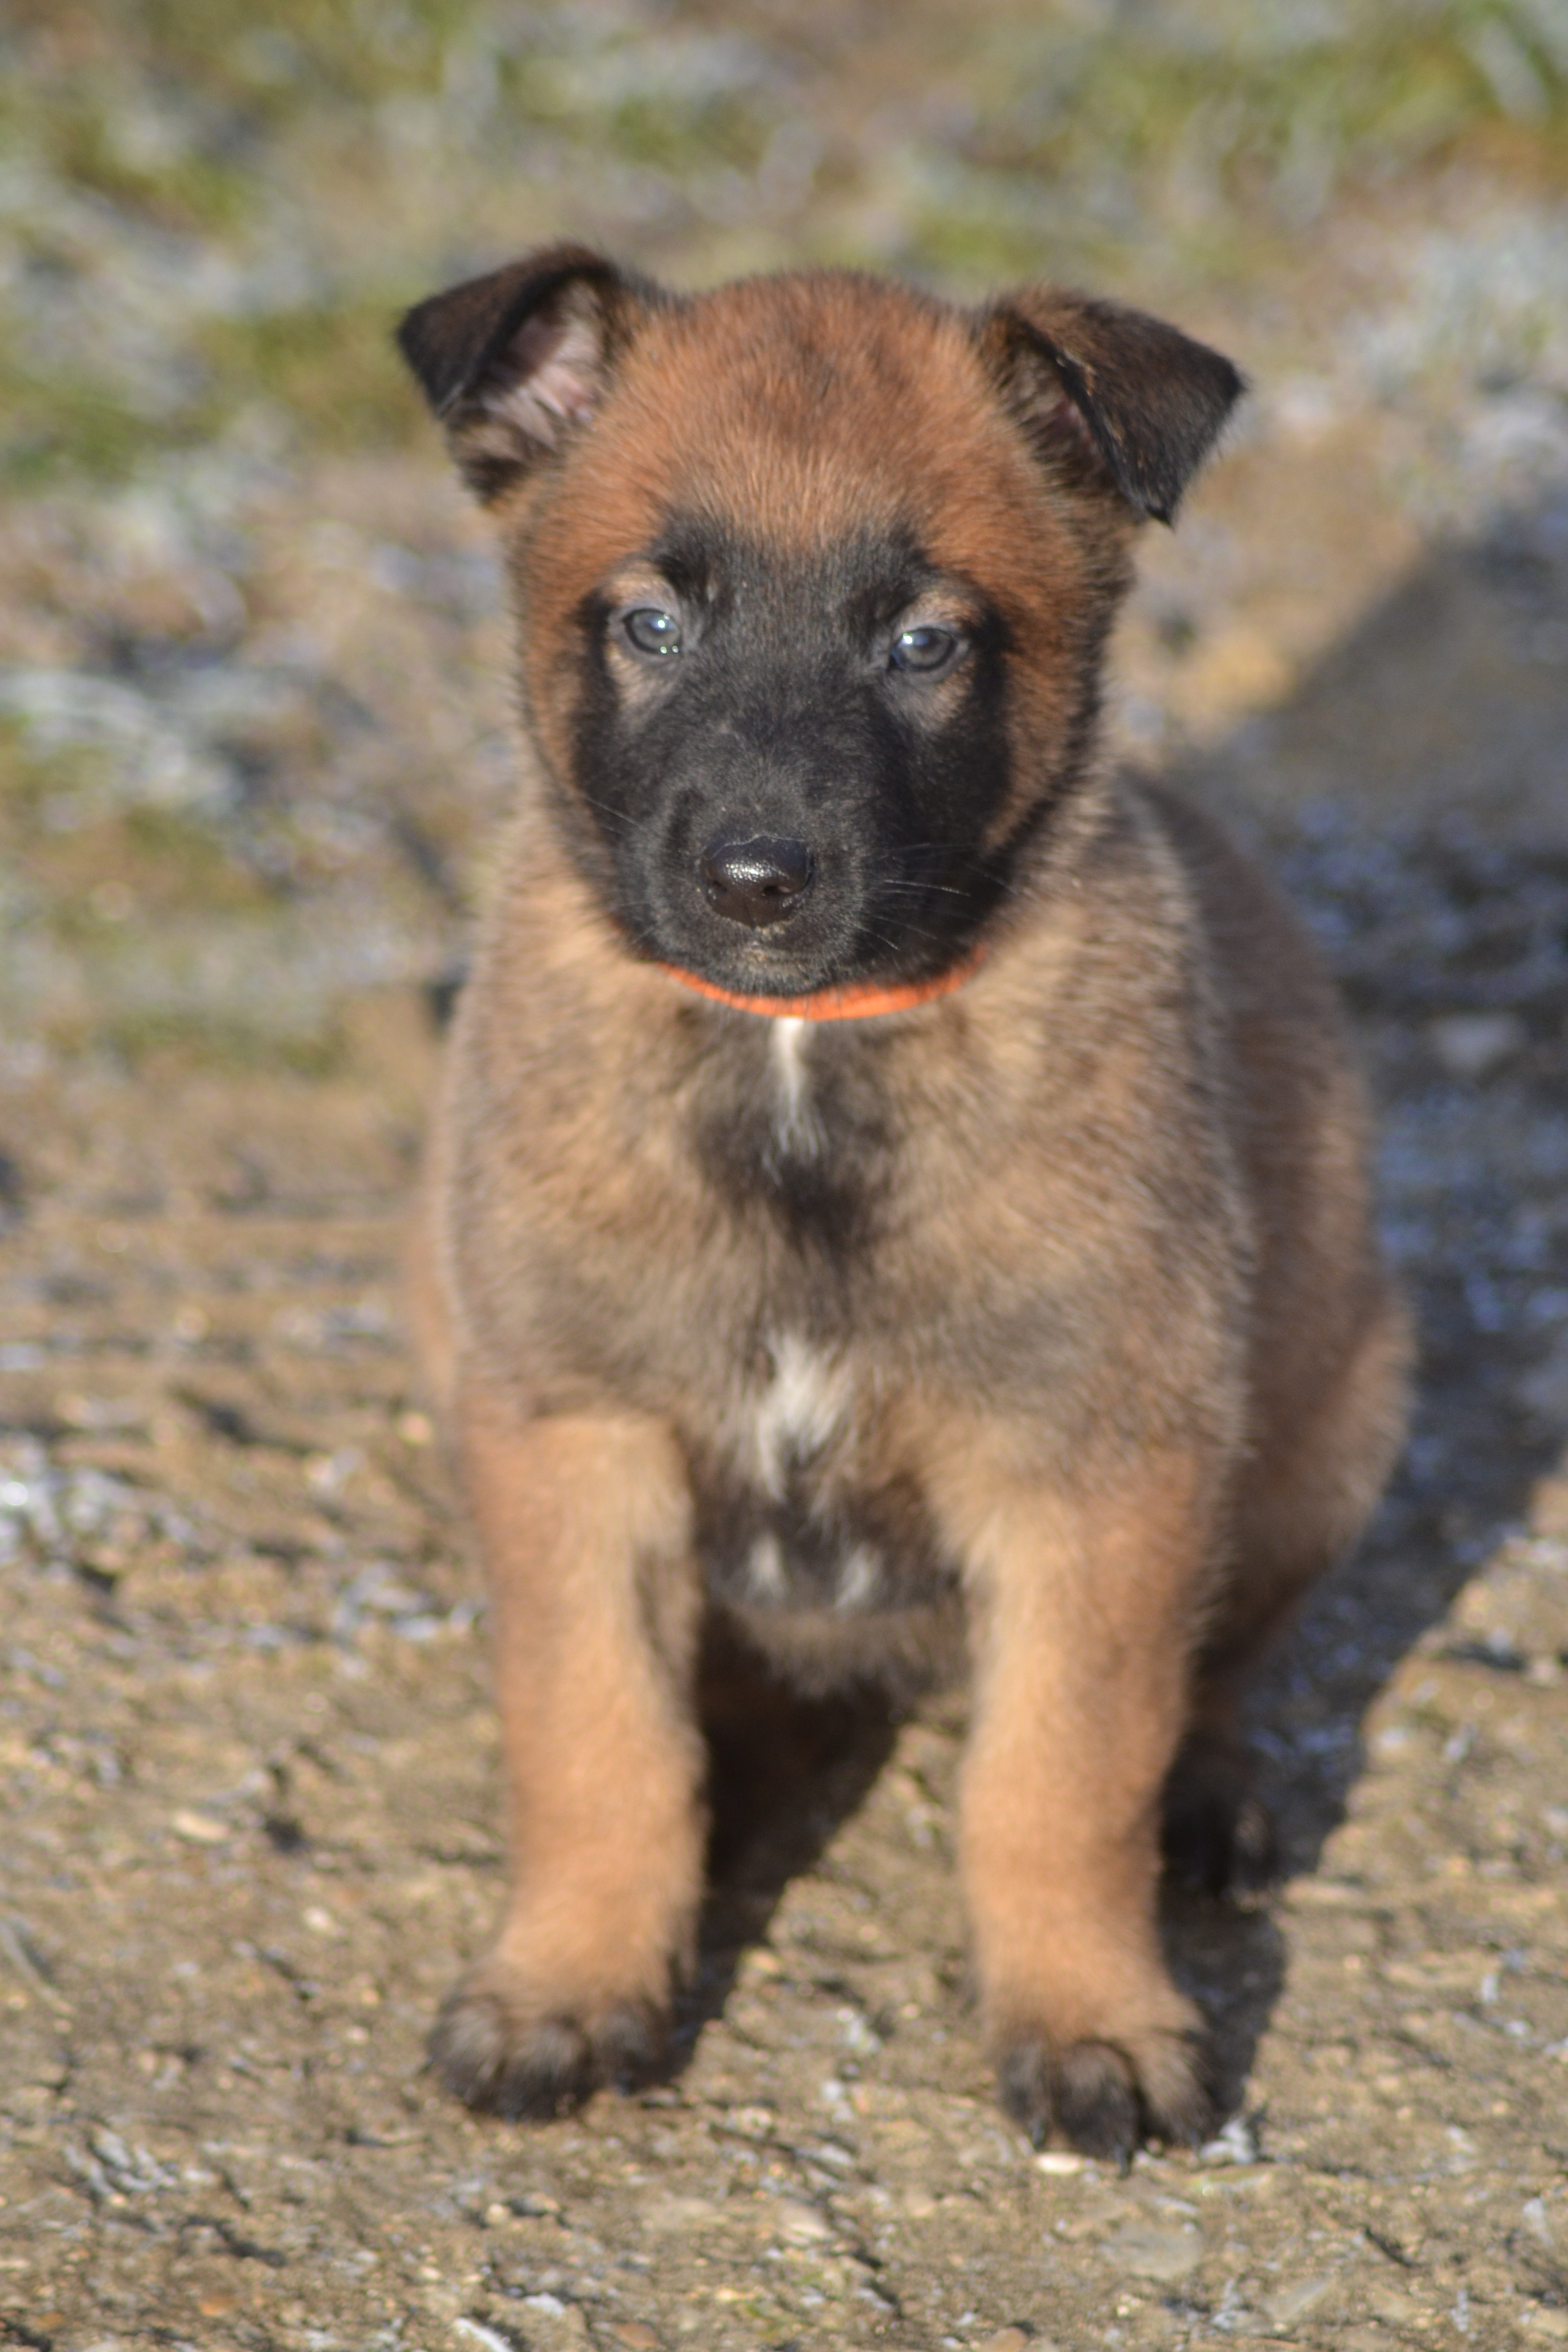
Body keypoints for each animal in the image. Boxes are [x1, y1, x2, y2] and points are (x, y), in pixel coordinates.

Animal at [393, 248, 1410, 2154]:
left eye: (922, 643)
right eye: (650, 625)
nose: (758, 880)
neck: (803, 1058)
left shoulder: (1099, 1470)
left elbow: (1059, 1777)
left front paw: (1090, 2012)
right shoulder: (570, 1430)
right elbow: (599, 1741)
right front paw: (571, 1976)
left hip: (1335, 1419)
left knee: (1222, 1671)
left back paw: (1212, 1805)